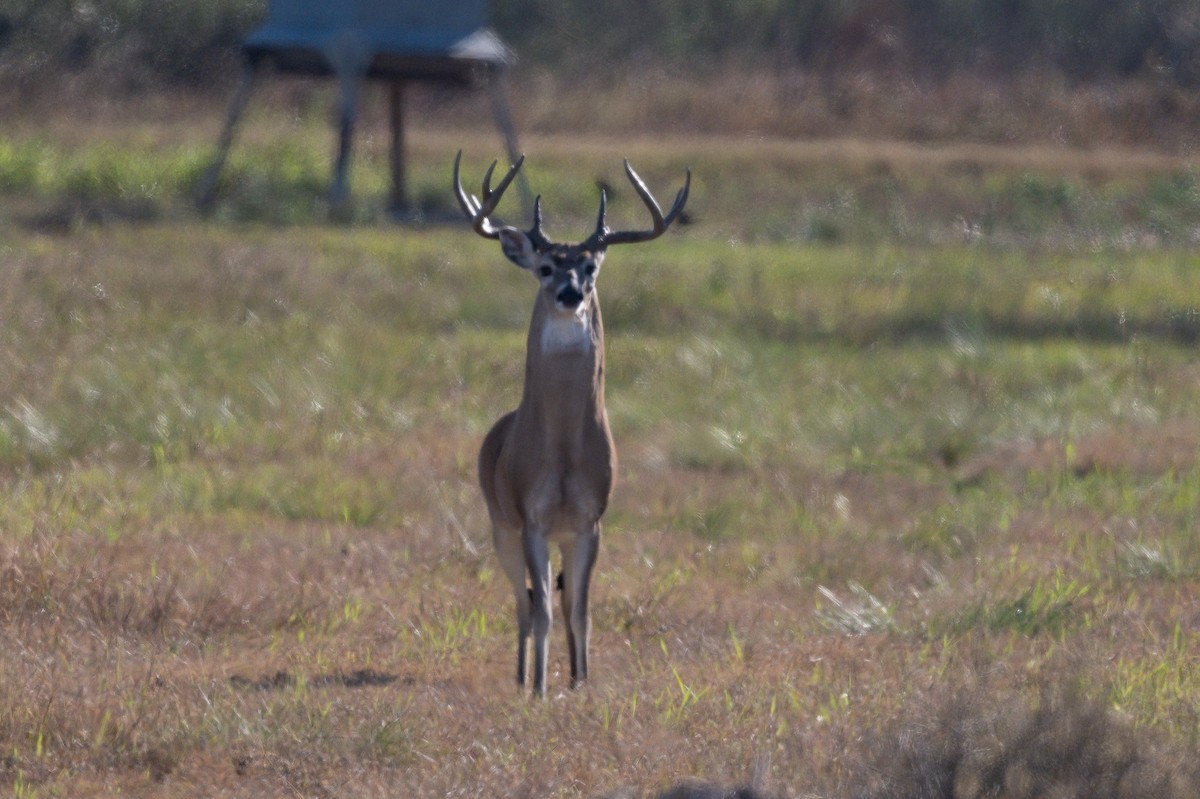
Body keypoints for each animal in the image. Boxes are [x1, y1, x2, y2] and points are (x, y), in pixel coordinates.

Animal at [453, 151, 690, 697]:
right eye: (544, 267)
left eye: (590, 266)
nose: (569, 293)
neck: (561, 458)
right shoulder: (532, 519)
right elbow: (540, 608)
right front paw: (540, 689)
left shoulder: (589, 521)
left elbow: (579, 610)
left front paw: (582, 683)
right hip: (498, 524)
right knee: (523, 601)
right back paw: (521, 676)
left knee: (555, 600)